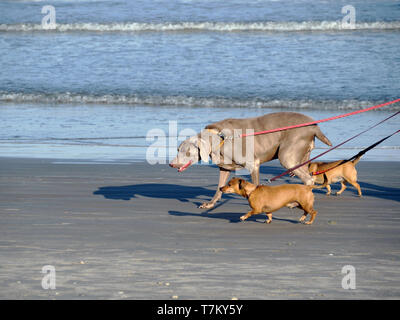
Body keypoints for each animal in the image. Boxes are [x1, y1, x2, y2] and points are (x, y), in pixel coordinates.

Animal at [169, 111, 332, 209]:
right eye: (178, 150)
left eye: (187, 152)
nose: (171, 164)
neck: (220, 137)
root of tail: (314, 126)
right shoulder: (225, 167)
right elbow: (219, 187)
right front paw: (210, 204)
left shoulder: (253, 163)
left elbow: (256, 185)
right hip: (300, 156)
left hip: (287, 155)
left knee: (308, 179)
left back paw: (294, 203)